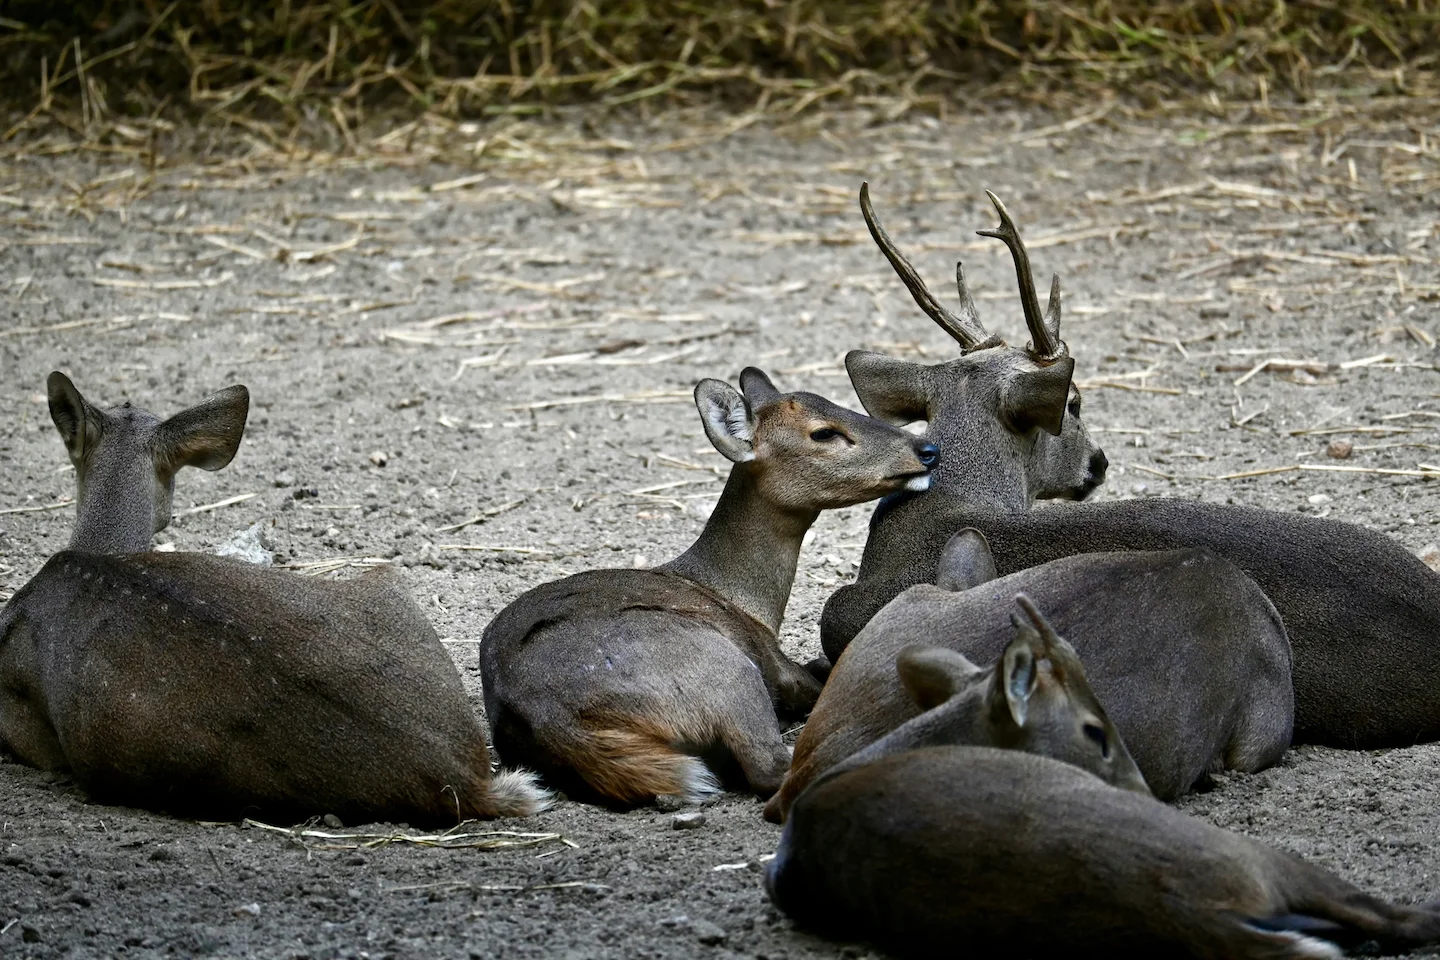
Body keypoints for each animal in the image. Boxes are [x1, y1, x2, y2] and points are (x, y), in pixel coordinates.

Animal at [478, 368, 936, 807]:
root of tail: (557, 721)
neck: (747, 602)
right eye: (823, 432)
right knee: (768, 765)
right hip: (725, 669)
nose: (926, 450)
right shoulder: (777, 665)